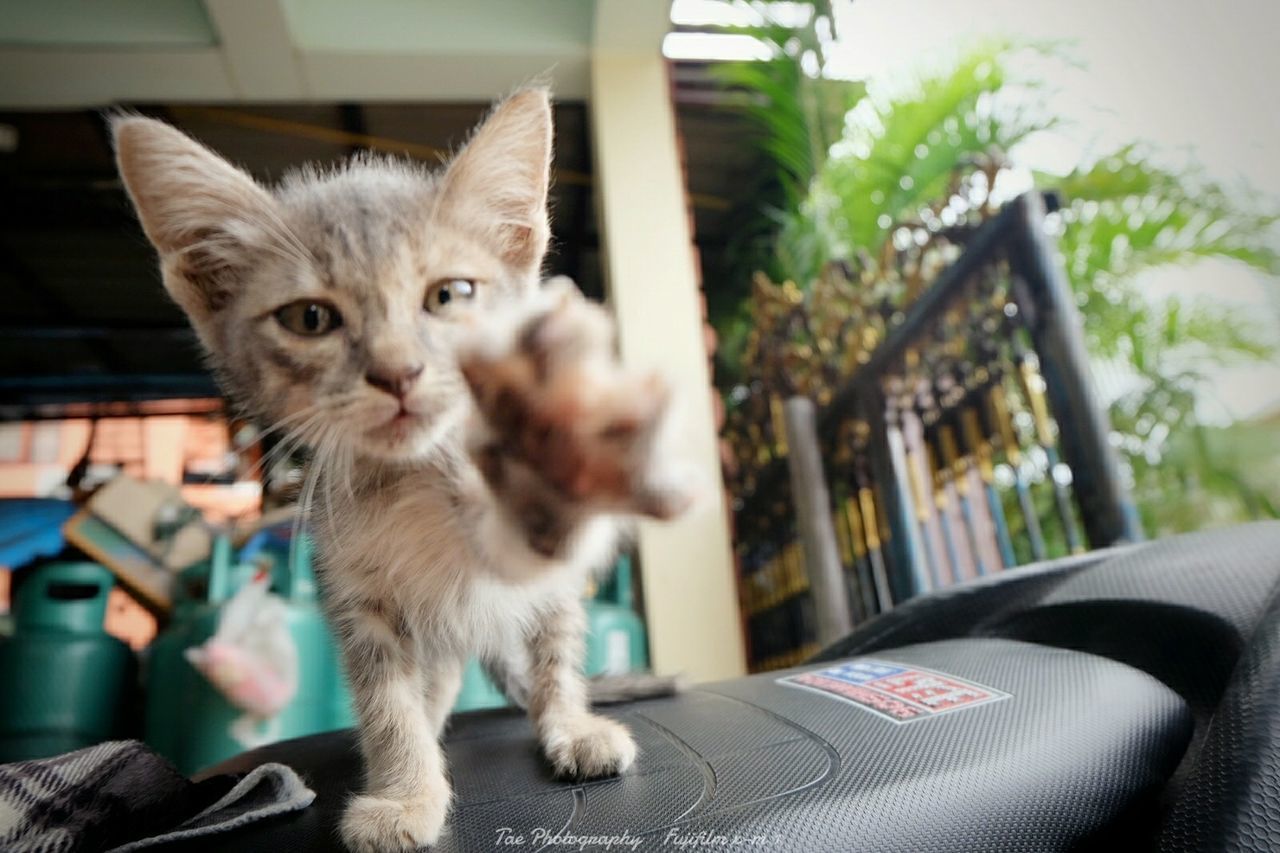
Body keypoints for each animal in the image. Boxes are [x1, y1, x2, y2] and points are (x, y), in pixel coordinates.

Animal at [116, 87, 696, 850]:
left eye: (450, 295)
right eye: (309, 318)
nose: (398, 372)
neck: (409, 482)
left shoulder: (511, 561)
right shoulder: (357, 597)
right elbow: (388, 701)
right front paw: (406, 789)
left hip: (553, 605)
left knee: (554, 652)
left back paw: (569, 722)